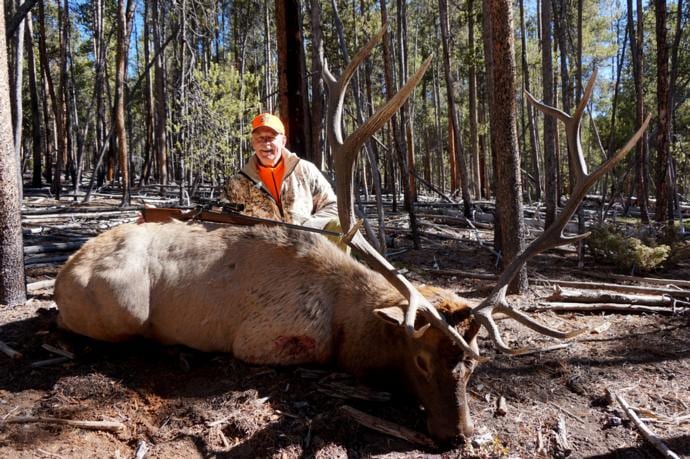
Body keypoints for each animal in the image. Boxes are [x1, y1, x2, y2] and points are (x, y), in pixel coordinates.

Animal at [53, 27, 650, 445]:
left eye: (474, 364)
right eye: (420, 360)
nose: (457, 434)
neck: (348, 315)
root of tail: (61, 272)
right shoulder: (267, 340)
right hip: (122, 305)